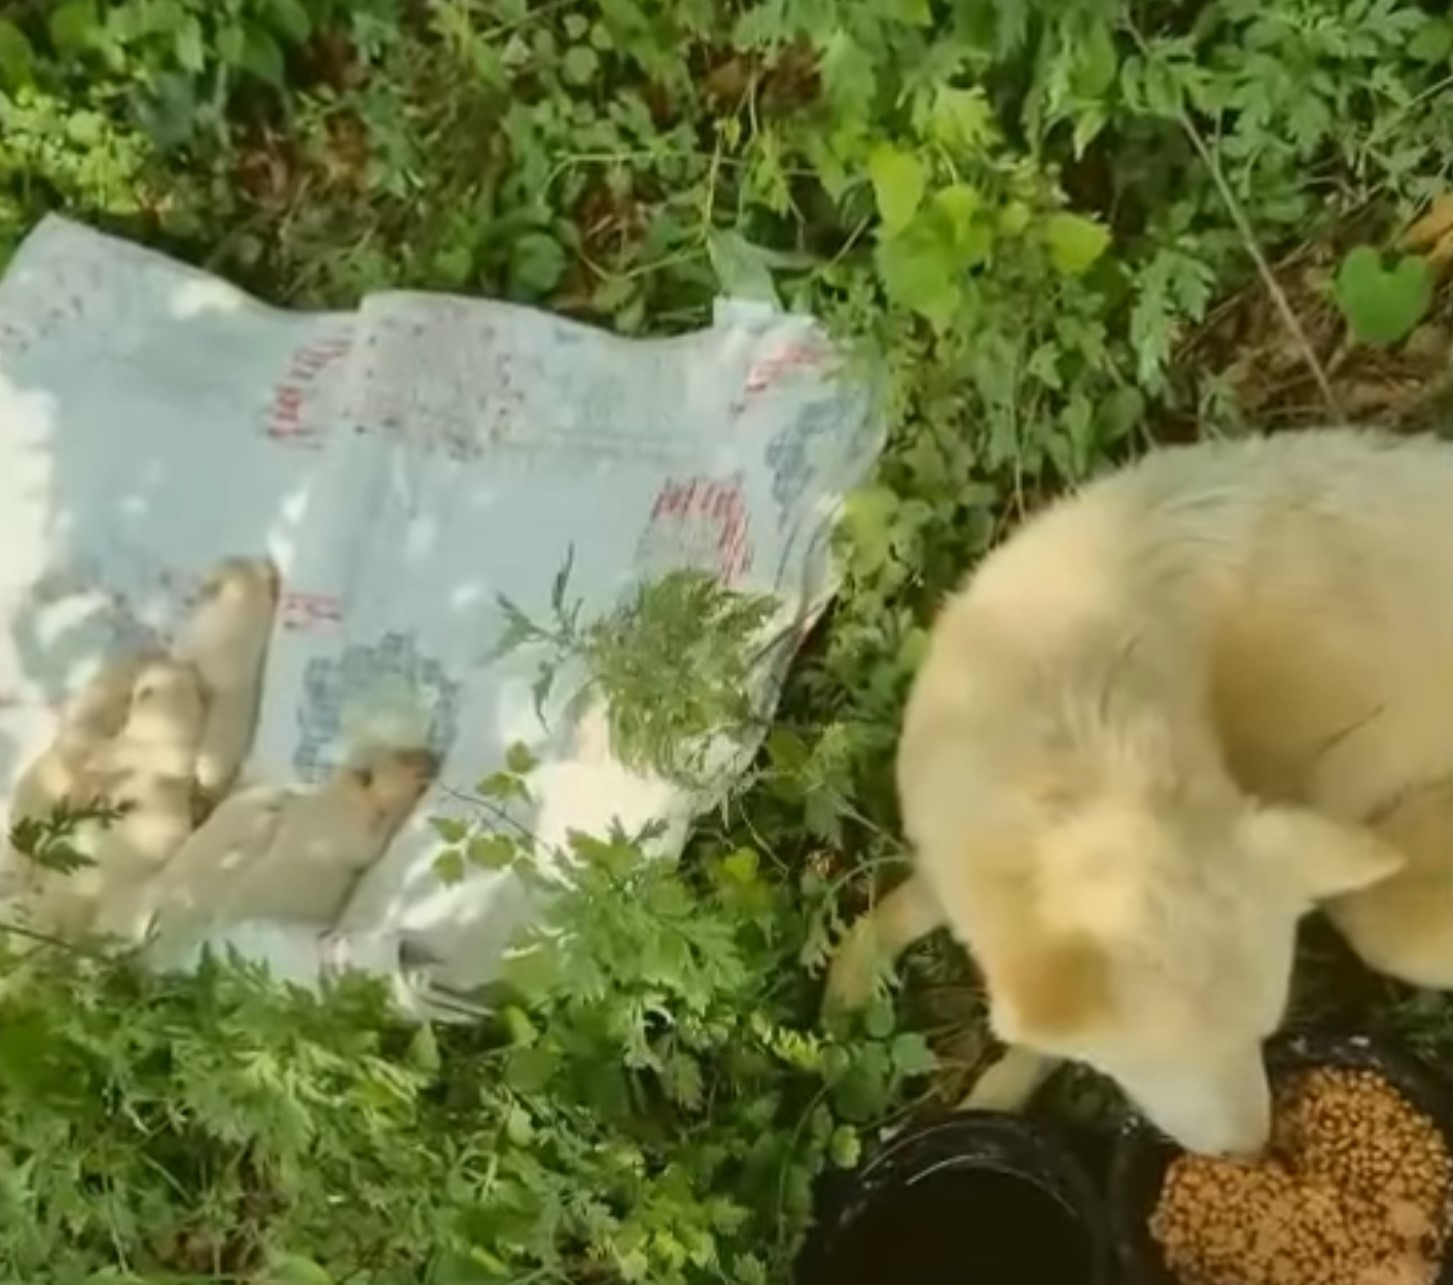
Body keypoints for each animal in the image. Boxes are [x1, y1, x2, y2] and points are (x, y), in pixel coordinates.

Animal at [831, 430, 1453, 1157]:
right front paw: (846, 981)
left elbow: (1035, 1049)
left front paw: (992, 1097)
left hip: (1388, 920)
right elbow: (909, 907)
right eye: (1161, 1063)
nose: (1253, 1152)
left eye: (1261, 1034)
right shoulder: (952, 835)